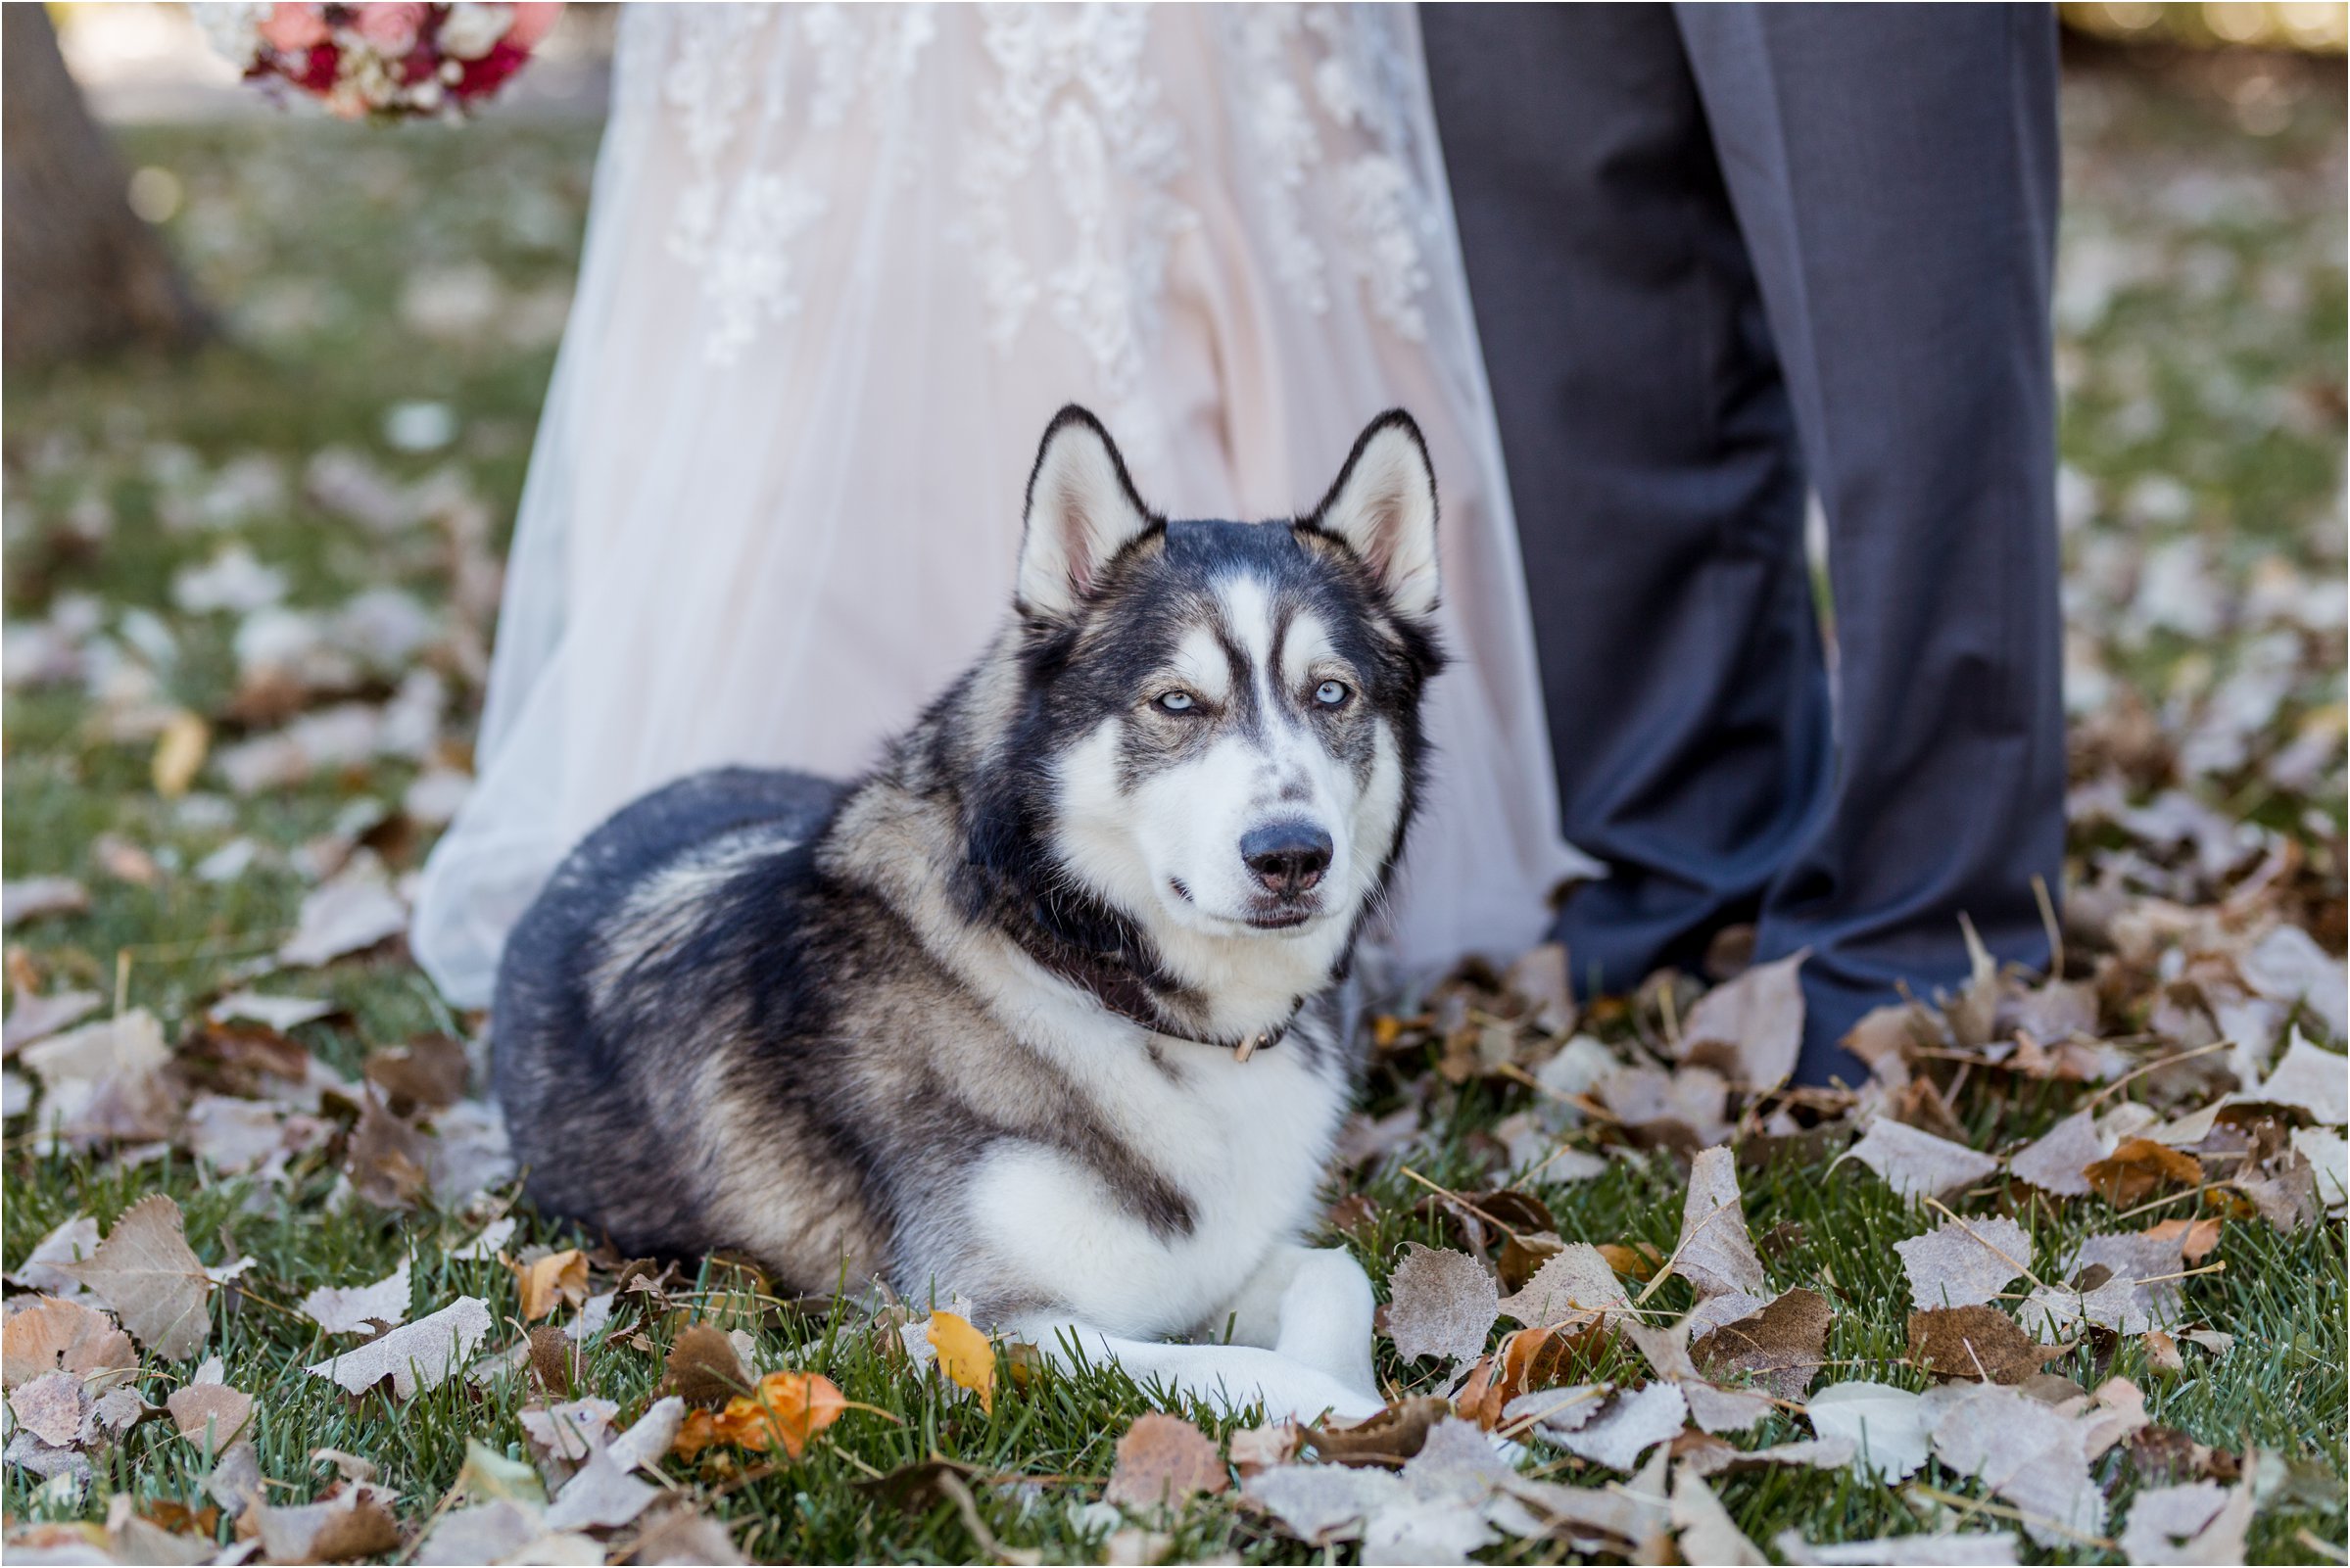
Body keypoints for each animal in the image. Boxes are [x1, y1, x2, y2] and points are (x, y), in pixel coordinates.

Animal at [500, 408, 1447, 1419]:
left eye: (1331, 692)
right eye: (1176, 701)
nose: (1291, 855)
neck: (1081, 969)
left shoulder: (1214, 1271)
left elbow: (1338, 1271)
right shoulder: (979, 1328)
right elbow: (1241, 1368)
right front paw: (1380, 1425)